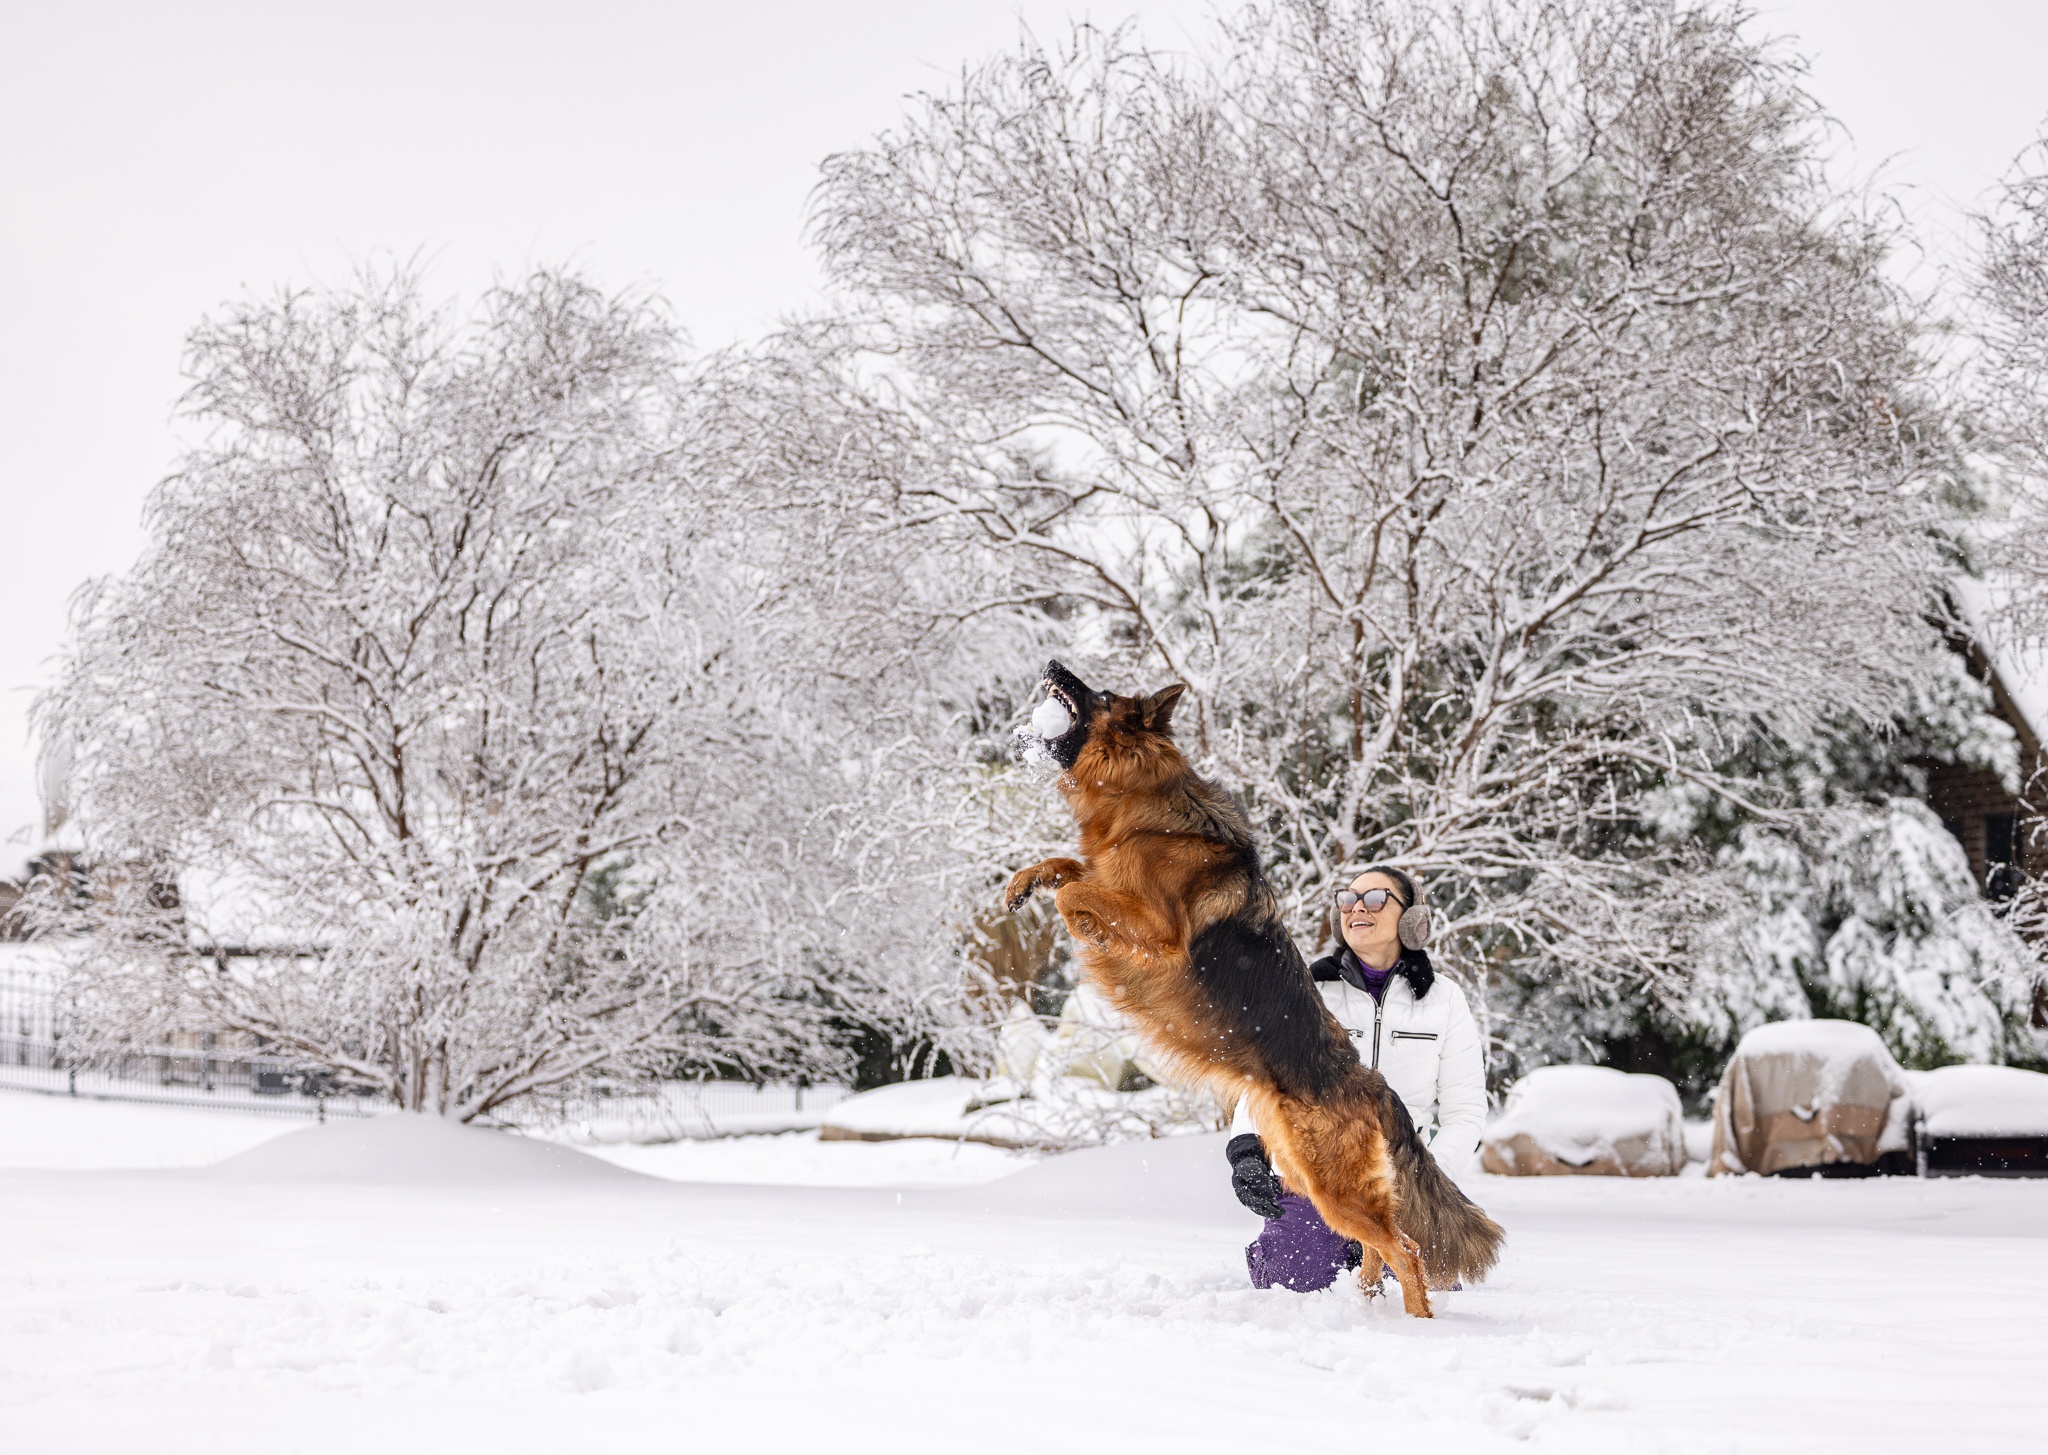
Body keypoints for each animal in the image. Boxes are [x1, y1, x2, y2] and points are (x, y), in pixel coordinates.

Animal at [1007, 663, 1507, 1319]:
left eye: (1104, 694)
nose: (1053, 665)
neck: (1144, 805)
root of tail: (1374, 1084)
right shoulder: (1109, 876)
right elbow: (1067, 865)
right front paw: (1023, 881)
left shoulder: (1157, 929)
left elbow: (1076, 892)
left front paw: (1074, 914)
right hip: (1307, 1174)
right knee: (1382, 1247)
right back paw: (1365, 1306)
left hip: (1333, 1185)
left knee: (1407, 1248)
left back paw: (1416, 1326)